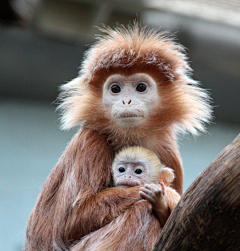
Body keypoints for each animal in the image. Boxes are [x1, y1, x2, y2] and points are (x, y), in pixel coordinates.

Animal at [25, 23, 211, 249]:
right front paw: (169, 196)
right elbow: (72, 221)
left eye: (141, 87)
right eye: (115, 89)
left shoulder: (168, 150)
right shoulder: (91, 141)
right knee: (141, 210)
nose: (126, 101)